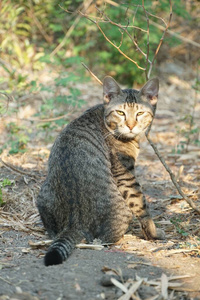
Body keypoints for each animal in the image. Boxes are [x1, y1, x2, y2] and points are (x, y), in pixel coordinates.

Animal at [36, 76, 165, 266]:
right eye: (120, 113)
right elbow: (141, 205)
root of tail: (74, 224)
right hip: (122, 209)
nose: (131, 126)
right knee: (105, 238)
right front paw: (153, 233)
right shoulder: (125, 173)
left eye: (140, 113)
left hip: (43, 194)